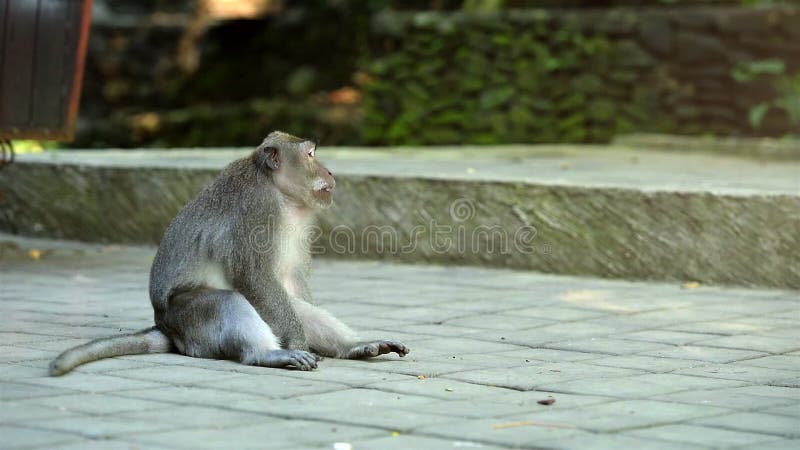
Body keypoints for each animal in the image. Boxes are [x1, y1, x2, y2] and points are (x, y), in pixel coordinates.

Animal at [49, 131, 410, 376]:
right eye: (310, 154)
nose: (331, 172)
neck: (280, 193)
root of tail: (166, 327)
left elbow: (288, 283)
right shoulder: (257, 212)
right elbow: (253, 275)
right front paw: (297, 343)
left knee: (288, 305)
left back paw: (356, 347)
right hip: (189, 318)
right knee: (229, 301)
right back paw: (268, 354)